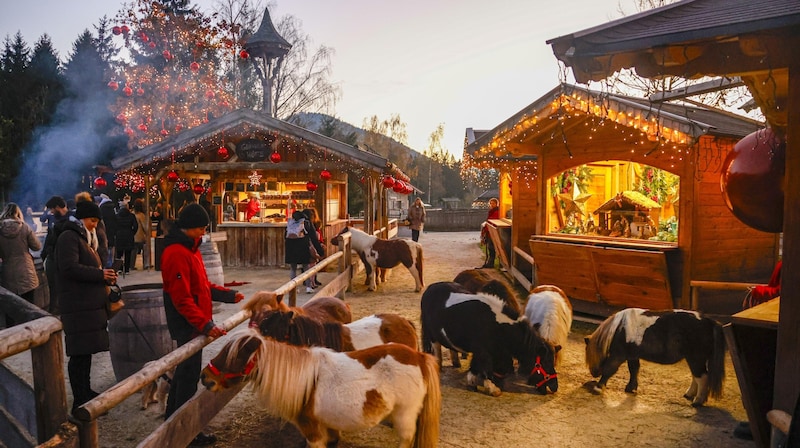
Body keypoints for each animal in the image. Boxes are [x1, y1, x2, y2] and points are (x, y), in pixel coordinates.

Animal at [198, 326, 438, 448]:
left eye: (234, 357)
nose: (204, 377)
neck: (304, 382)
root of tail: (419, 357)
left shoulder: (311, 431)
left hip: (405, 416)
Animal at [418, 282, 556, 398]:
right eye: (546, 362)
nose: (554, 386)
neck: (496, 325)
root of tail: (430, 288)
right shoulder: (483, 352)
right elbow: (485, 367)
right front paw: (493, 388)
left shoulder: (481, 351)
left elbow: (475, 366)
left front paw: (472, 383)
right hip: (432, 336)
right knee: (436, 349)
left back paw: (456, 363)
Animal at [580, 308, 724, 406]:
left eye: (591, 354)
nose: (593, 373)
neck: (619, 328)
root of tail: (709, 322)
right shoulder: (632, 355)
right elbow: (634, 370)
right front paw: (631, 388)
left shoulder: (618, 356)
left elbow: (609, 369)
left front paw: (598, 387)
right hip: (694, 359)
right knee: (696, 377)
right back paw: (689, 395)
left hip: (696, 358)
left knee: (702, 377)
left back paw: (697, 401)